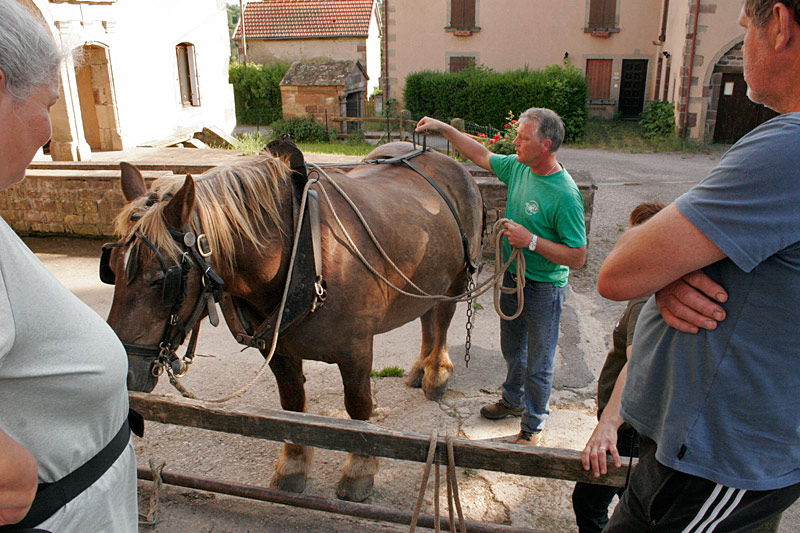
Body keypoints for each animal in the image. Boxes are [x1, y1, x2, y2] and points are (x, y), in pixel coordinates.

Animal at [104, 141, 484, 498]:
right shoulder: (278, 351)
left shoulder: (356, 351)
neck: (307, 253)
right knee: (426, 316)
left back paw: (436, 370)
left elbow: (359, 408)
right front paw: (294, 466)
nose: (124, 373)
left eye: (161, 278)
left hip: (455, 277)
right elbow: (292, 408)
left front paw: (360, 469)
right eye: (111, 269)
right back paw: (421, 367)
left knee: (442, 318)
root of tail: (443, 158)